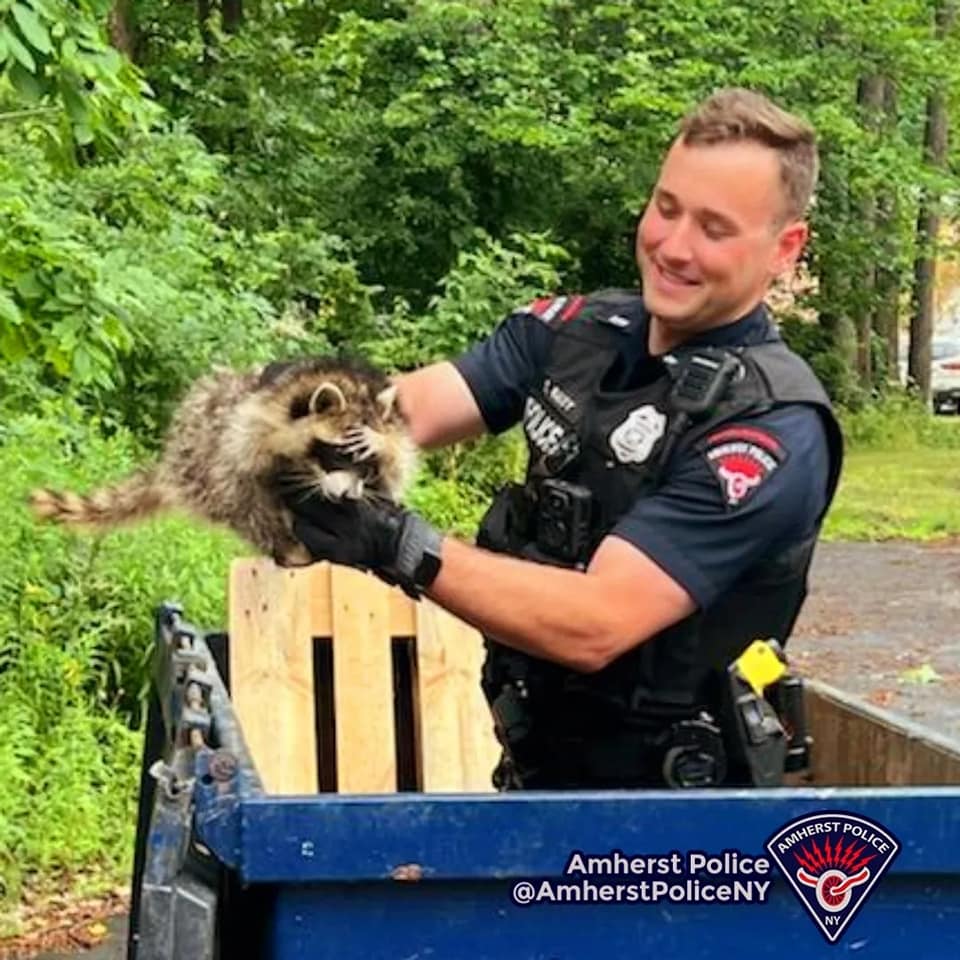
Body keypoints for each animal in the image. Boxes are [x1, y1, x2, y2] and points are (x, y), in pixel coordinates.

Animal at [29, 356, 418, 566]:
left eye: (364, 465)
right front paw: (289, 544)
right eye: (335, 453)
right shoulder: (251, 425)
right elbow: (241, 493)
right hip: (199, 447)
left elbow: (398, 457)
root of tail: (172, 460)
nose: (345, 496)